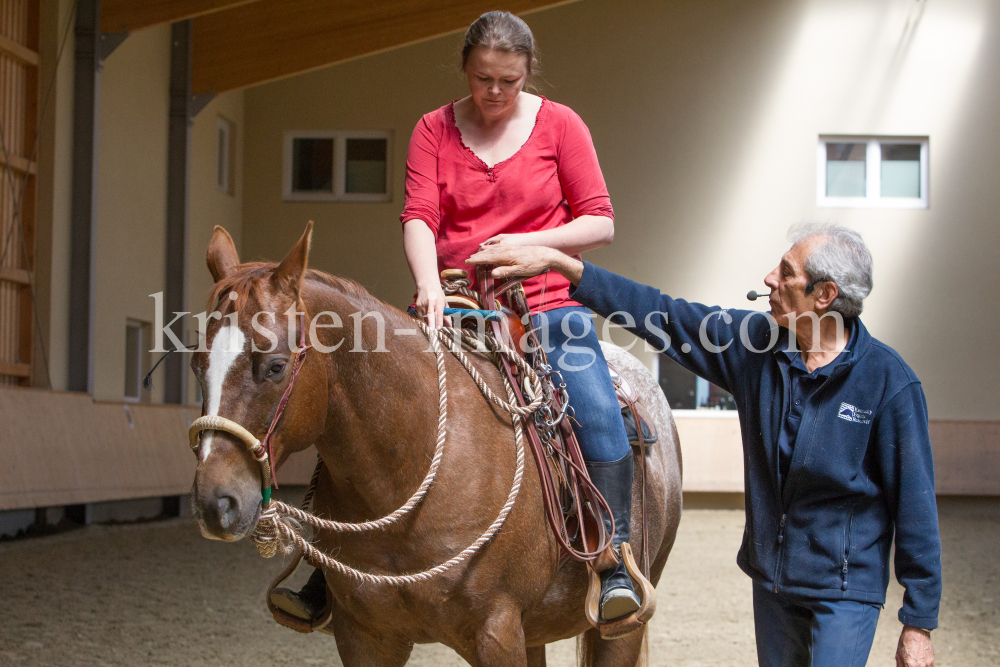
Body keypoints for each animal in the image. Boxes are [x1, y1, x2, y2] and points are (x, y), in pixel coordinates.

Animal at [191, 226, 684, 667]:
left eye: (276, 366)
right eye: (197, 364)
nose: (216, 503)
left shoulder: (496, 633)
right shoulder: (364, 637)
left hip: (622, 626)